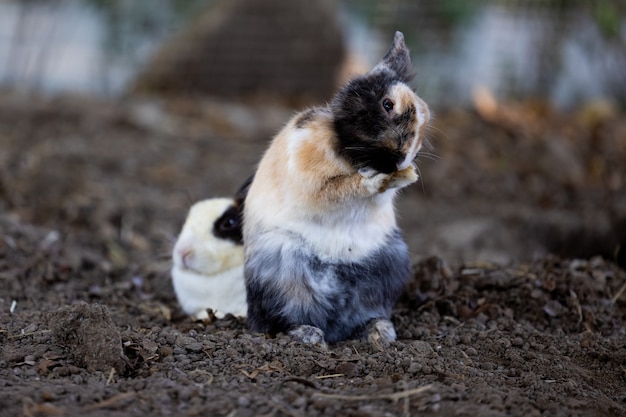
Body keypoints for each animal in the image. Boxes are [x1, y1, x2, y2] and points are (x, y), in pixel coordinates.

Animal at [244, 31, 428, 344]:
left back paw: (379, 332)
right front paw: (373, 179)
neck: (351, 152)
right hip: (281, 272)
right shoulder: (312, 181)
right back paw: (310, 335)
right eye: (387, 104)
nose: (402, 158)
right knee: (281, 317)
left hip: (387, 267)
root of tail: (333, 326)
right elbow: (339, 189)